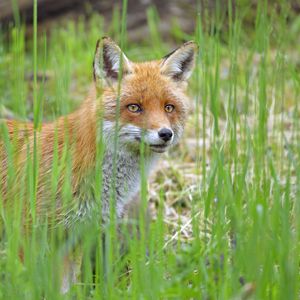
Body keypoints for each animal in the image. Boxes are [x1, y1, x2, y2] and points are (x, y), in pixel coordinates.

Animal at [0, 37, 197, 292]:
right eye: (134, 107)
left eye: (168, 107)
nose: (165, 134)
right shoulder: (28, 232)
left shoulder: (77, 236)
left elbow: (67, 289)